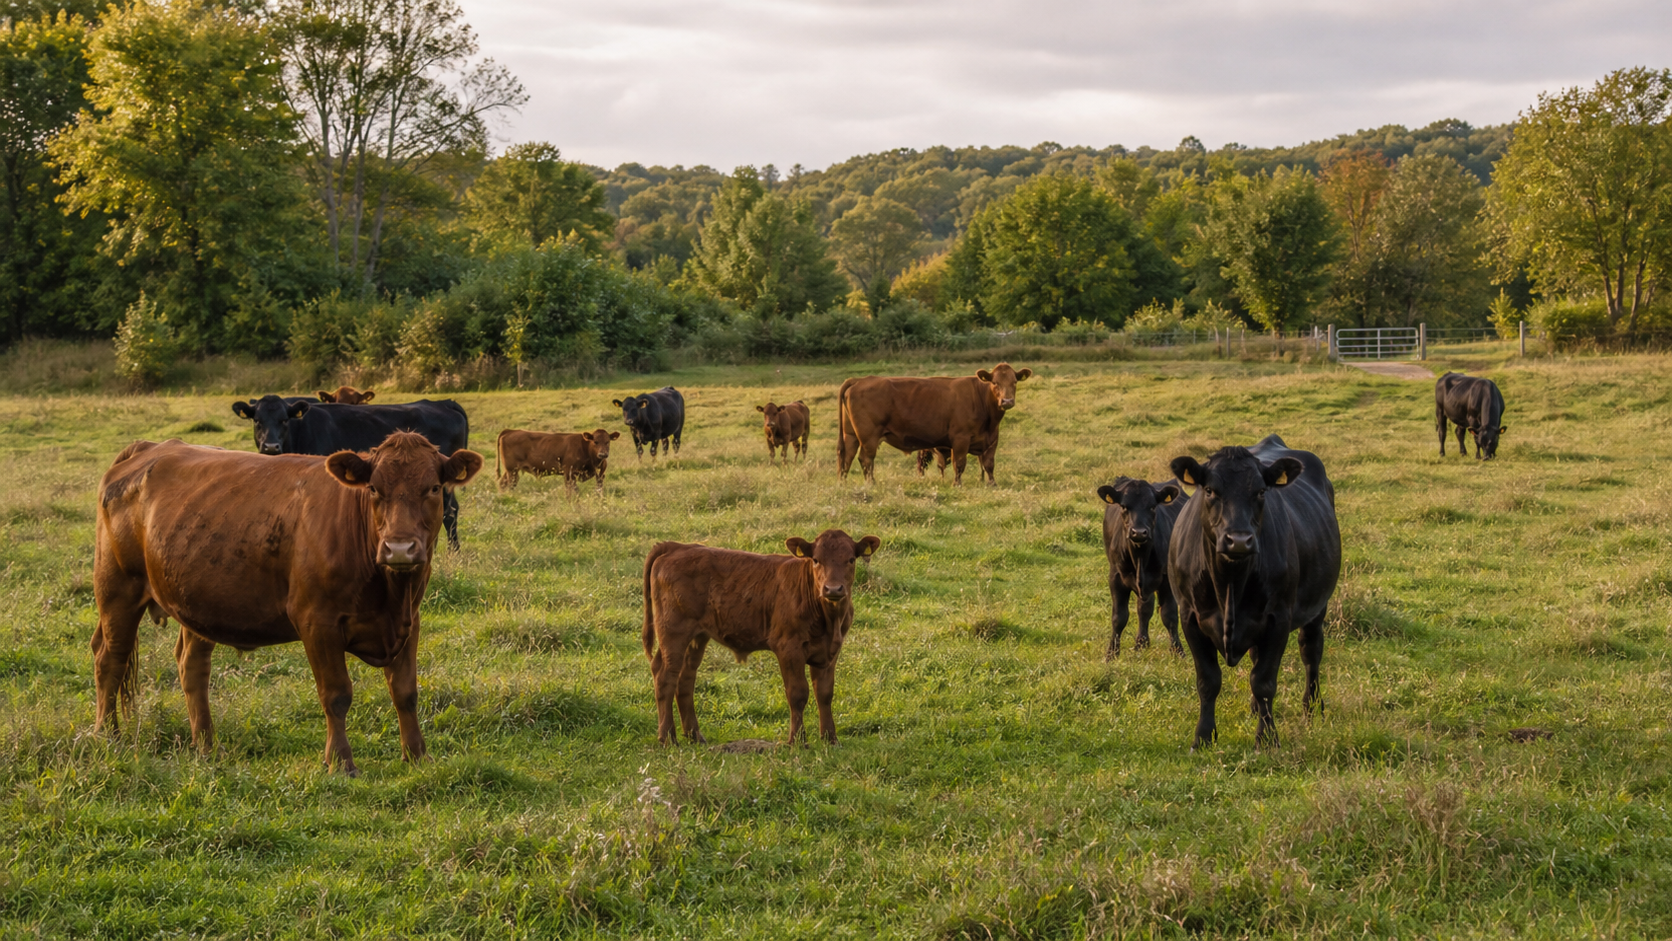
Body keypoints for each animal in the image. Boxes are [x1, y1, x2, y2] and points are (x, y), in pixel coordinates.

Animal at [91, 432, 485, 775]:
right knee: (110, 658)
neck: (390, 592)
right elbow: (336, 695)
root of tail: (150, 447)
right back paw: (108, 737)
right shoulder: (317, 622)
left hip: (196, 603)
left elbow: (405, 692)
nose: (399, 548)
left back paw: (207, 746)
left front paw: (417, 756)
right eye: (374, 488)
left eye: (433, 488)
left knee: (192, 667)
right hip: (117, 588)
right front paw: (340, 763)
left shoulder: (409, 620)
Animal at [641, 529, 882, 746]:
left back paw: (694, 736)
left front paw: (831, 740)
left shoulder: (830, 651)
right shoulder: (788, 647)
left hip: (697, 636)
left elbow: (825, 693)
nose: (832, 589)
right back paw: (667, 738)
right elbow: (798, 693)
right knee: (665, 676)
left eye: (851, 559)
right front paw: (797, 741)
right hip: (673, 632)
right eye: (816, 560)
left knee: (685, 679)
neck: (829, 621)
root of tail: (678, 546)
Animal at [838, 363, 1033, 485]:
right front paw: (957, 484)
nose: (1007, 401)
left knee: (847, 457)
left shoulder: (991, 440)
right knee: (866, 459)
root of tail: (859, 379)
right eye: (995, 382)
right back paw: (871, 483)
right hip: (869, 436)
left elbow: (989, 464)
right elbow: (959, 463)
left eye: (1014, 382)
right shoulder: (960, 438)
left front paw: (992, 484)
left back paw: (844, 483)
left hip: (851, 434)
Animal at [1097, 476, 1185, 658]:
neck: (1140, 557)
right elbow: (1119, 617)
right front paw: (1112, 654)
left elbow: (1169, 615)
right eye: (1124, 506)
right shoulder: (1115, 578)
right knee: (1144, 608)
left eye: (1152, 506)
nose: (1138, 532)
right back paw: (1141, 643)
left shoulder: (1167, 579)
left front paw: (1178, 652)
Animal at [1167, 434, 1341, 748]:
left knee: (1311, 652)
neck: (1229, 583)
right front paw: (1203, 738)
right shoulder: (1190, 616)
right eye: (1210, 490)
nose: (1238, 540)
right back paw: (1253, 709)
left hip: (1317, 608)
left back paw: (1312, 707)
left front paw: (1267, 738)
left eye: (1261, 492)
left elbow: (1264, 681)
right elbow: (1208, 681)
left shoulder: (1278, 619)